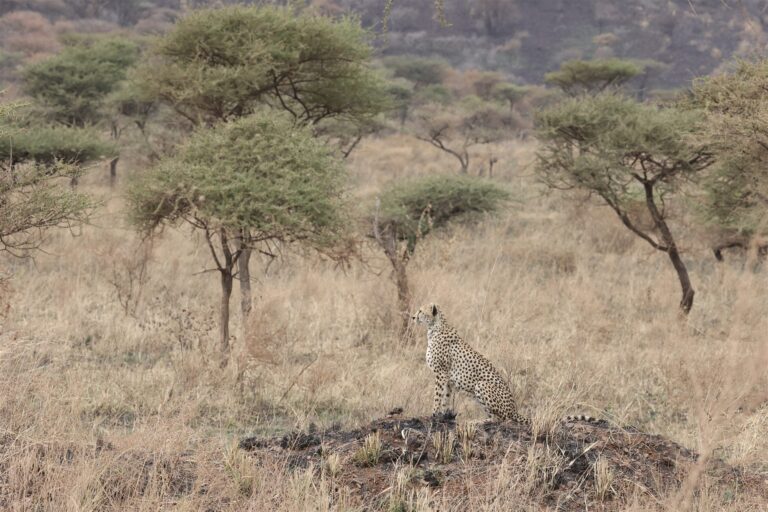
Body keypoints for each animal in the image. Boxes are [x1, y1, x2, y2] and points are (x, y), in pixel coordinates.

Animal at [412, 303, 599, 426]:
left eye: (420, 310)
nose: (412, 316)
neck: (434, 327)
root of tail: (514, 409)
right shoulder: (447, 378)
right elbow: (445, 397)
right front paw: (444, 416)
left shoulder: (441, 373)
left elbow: (437, 396)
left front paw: (433, 414)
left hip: (481, 385)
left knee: (501, 419)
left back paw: (479, 421)